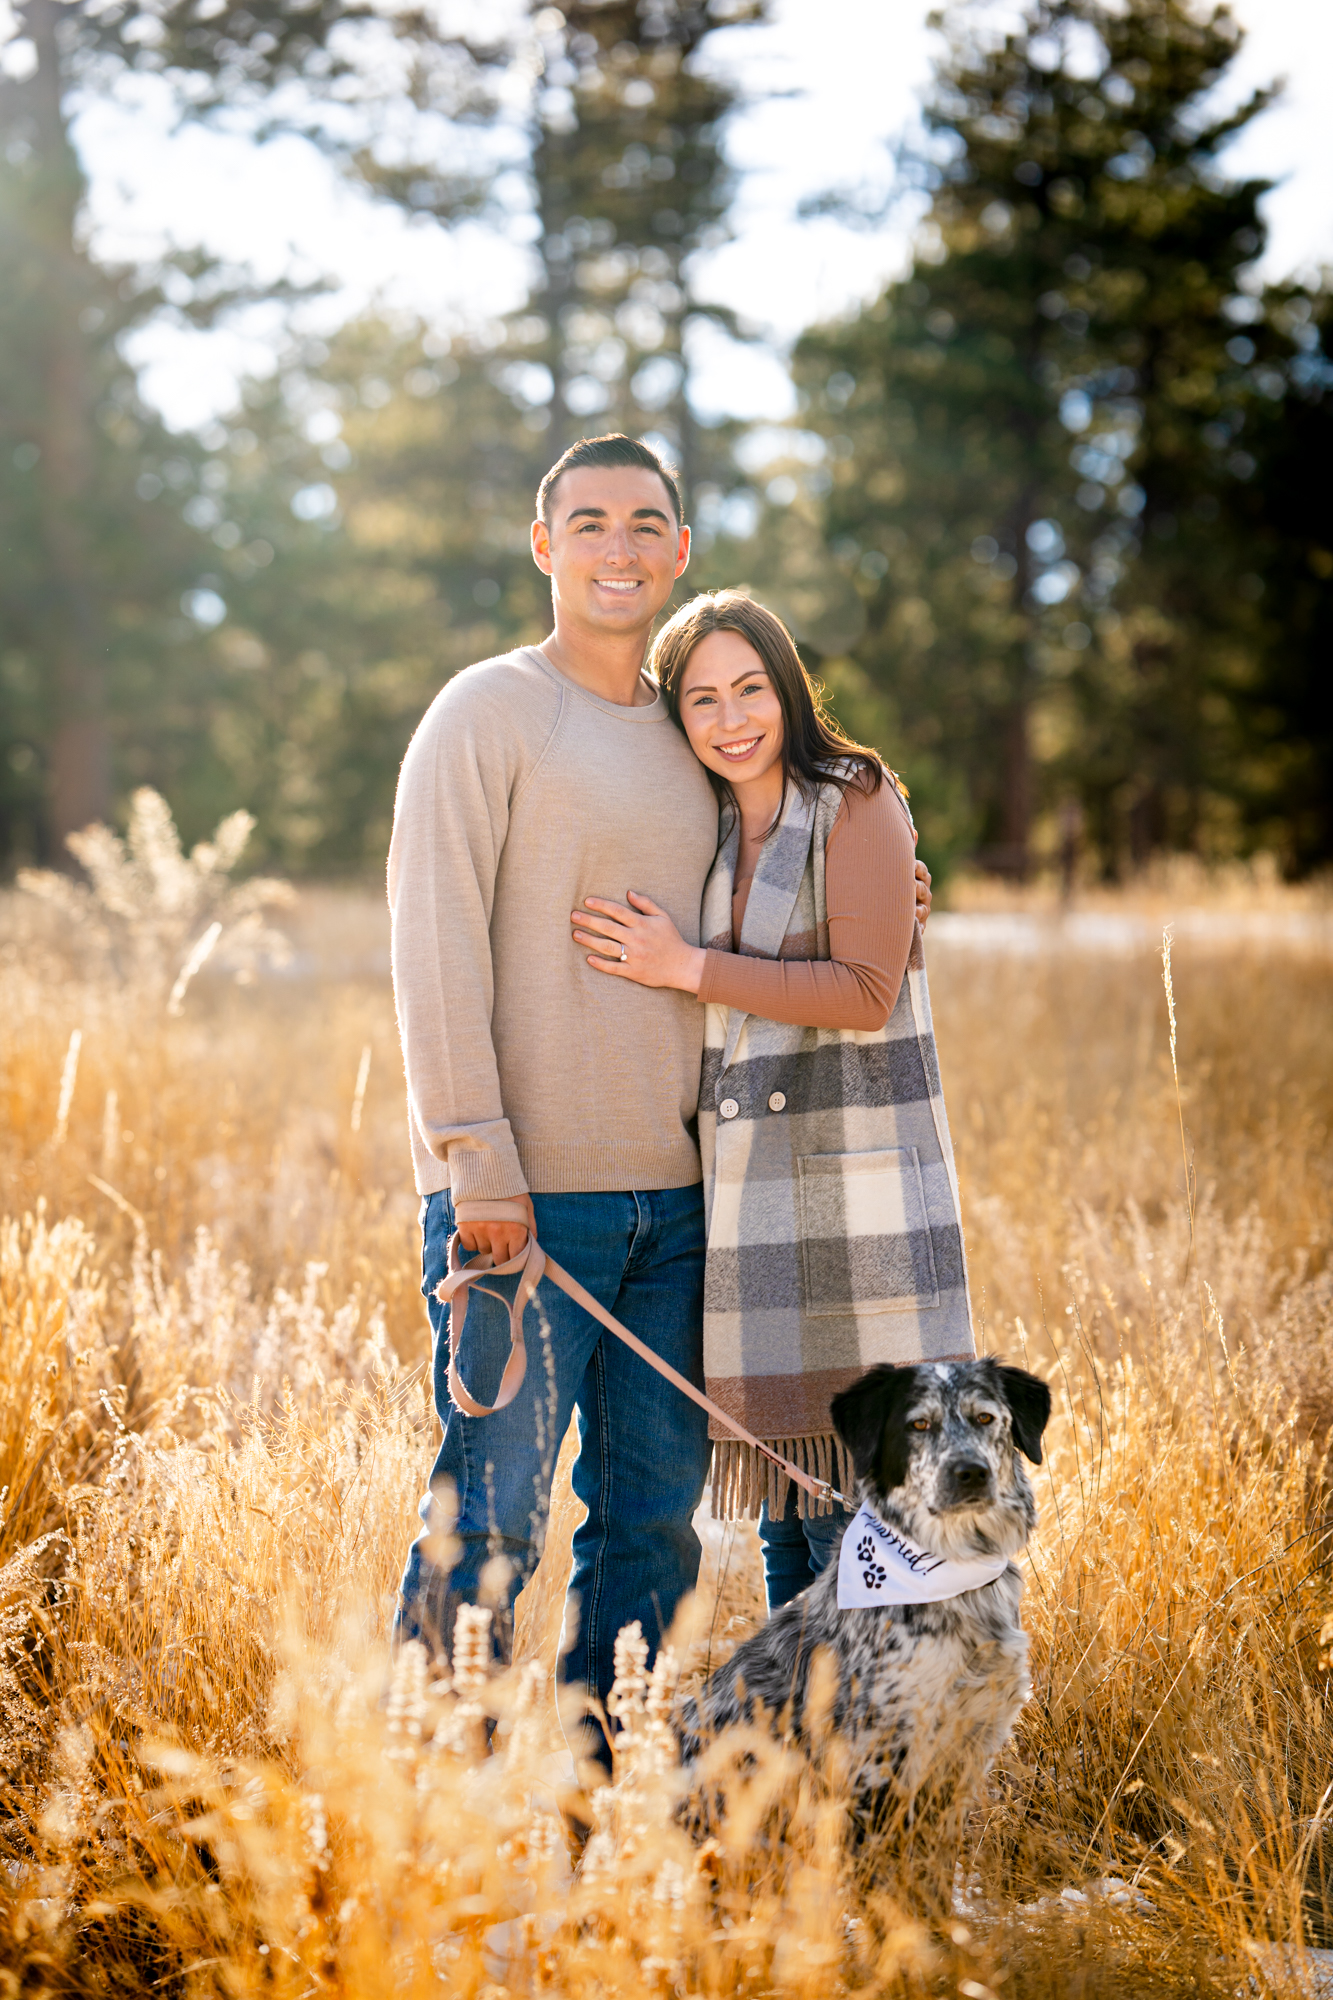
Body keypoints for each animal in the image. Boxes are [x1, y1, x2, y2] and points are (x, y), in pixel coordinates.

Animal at [676, 1360, 1048, 1832]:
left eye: (985, 1417)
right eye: (918, 1424)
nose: (972, 1473)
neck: (953, 1570)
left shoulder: (972, 1734)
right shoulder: (877, 1750)